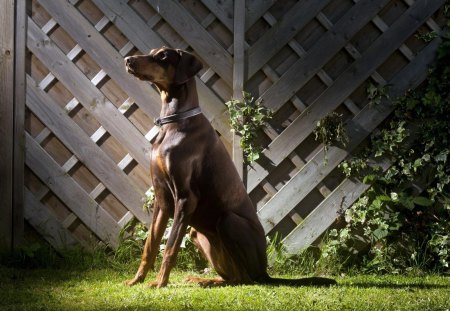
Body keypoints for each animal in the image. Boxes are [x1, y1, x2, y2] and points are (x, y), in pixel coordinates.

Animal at [125, 47, 336, 288]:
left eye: (162, 56)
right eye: (152, 53)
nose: (128, 60)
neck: (174, 123)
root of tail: (265, 271)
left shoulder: (186, 199)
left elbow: (169, 247)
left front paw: (159, 283)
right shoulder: (162, 199)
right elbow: (150, 246)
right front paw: (136, 280)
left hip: (228, 221)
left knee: (244, 279)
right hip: (197, 234)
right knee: (233, 276)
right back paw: (203, 279)